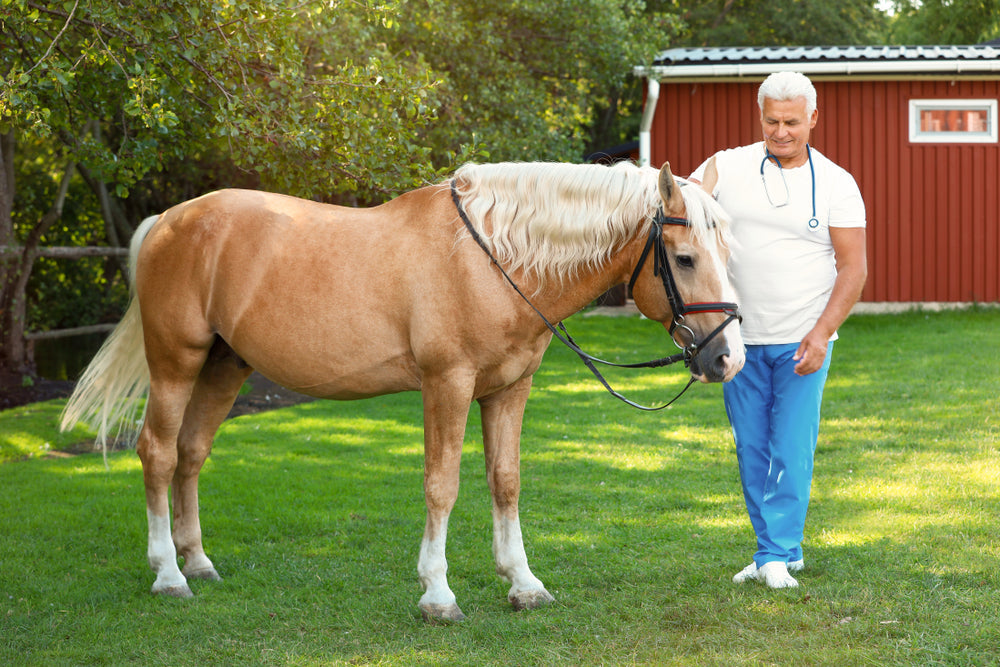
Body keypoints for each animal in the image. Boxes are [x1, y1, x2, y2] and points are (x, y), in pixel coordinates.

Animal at [61, 160, 744, 622]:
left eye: (725, 251)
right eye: (684, 257)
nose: (727, 358)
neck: (492, 258)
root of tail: (170, 221)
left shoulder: (509, 389)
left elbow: (506, 481)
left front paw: (523, 584)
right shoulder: (448, 384)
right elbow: (442, 485)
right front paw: (438, 594)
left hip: (225, 367)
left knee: (192, 454)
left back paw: (197, 562)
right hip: (176, 363)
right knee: (158, 453)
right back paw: (168, 575)